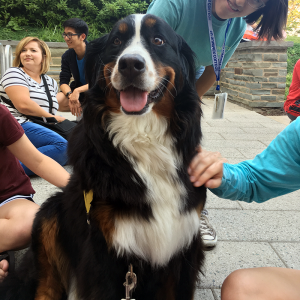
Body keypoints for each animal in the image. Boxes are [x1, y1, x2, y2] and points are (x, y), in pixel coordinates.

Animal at [0, 14, 206, 300]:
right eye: (117, 41)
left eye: (158, 40)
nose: (130, 64)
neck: (142, 136)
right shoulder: (104, 251)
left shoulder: (183, 247)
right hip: (49, 216)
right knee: (46, 285)